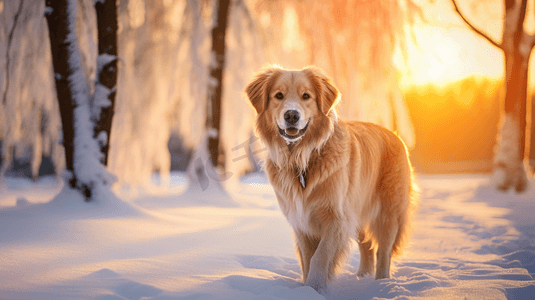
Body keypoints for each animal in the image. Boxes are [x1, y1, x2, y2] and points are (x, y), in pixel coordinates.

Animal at [247, 65, 418, 290]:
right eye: (278, 95)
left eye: (306, 96)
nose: (291, 115)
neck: (304, 158)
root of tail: (396, 135)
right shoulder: (301, 222)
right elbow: (307, 258)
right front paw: (306, 288)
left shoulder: (337, 218)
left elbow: (320, 256)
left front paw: (314, 287)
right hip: (357, 211)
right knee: (367, 247)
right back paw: (361, 277)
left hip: (388, 213)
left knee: (384, 251)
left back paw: (381, 282)